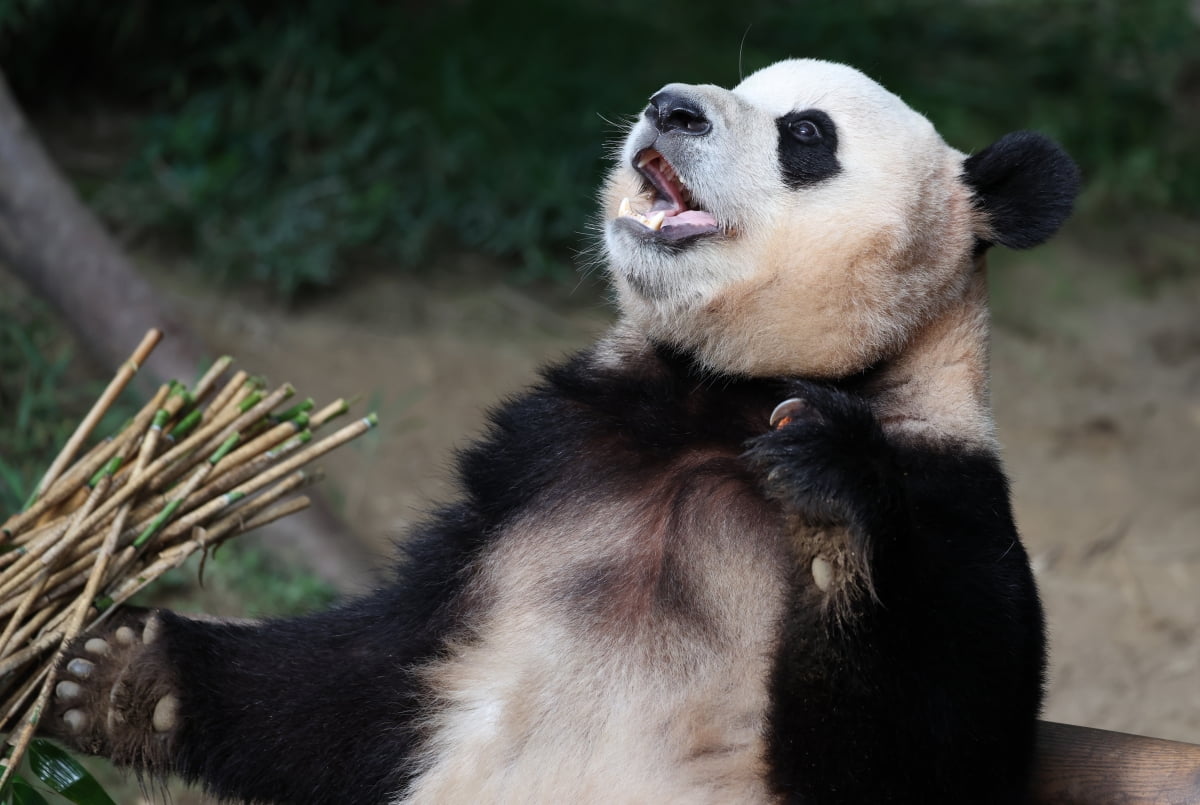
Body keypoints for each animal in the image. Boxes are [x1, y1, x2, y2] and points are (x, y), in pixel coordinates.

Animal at [44, 59, 1080, 801]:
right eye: (736, 87)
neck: (718, 399)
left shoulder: (950, 499)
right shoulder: (548, 458)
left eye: (805, 133)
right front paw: (120, 675)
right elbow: (378, 672)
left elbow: (930, 752)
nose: (670, 108)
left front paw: (830, 516)